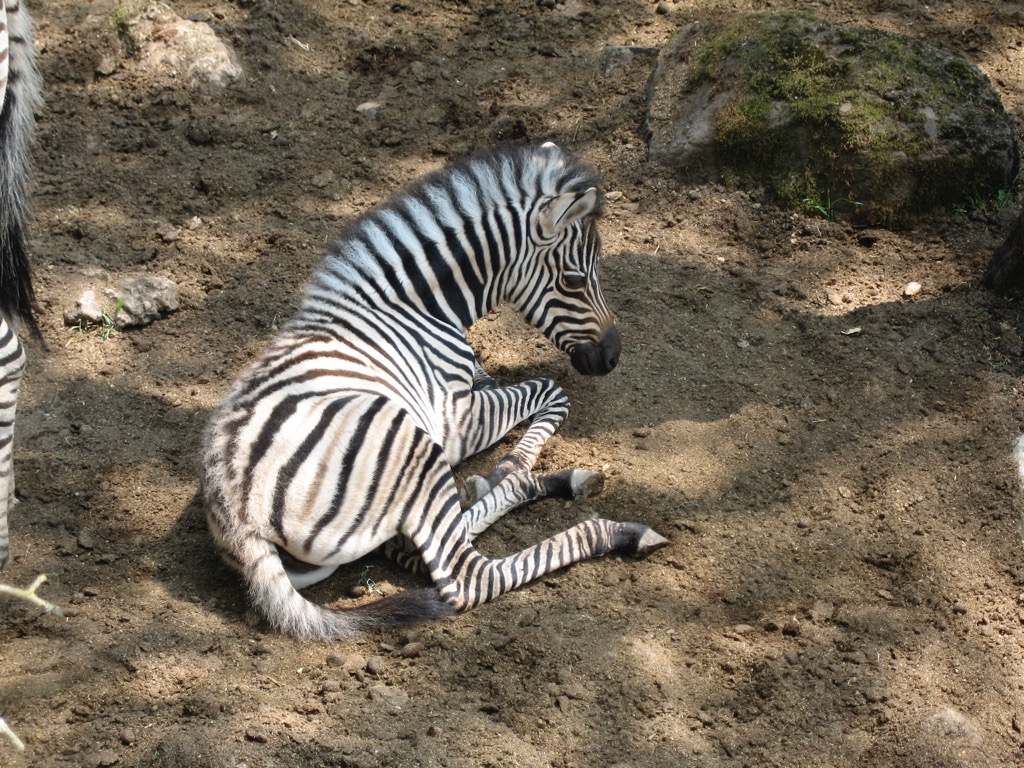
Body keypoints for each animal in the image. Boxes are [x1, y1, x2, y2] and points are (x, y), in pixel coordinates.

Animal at [202, 141, 667, 638]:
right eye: (575, 280)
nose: (613, 356)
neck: (418, 307)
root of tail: (239, 523)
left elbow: (503, 382)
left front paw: (503, 471)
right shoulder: (456, 419)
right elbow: (551, 391)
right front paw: (512, 462)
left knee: (424, 546)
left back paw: (531, 483)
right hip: (412, 443)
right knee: (468, 575)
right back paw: (612, 530)